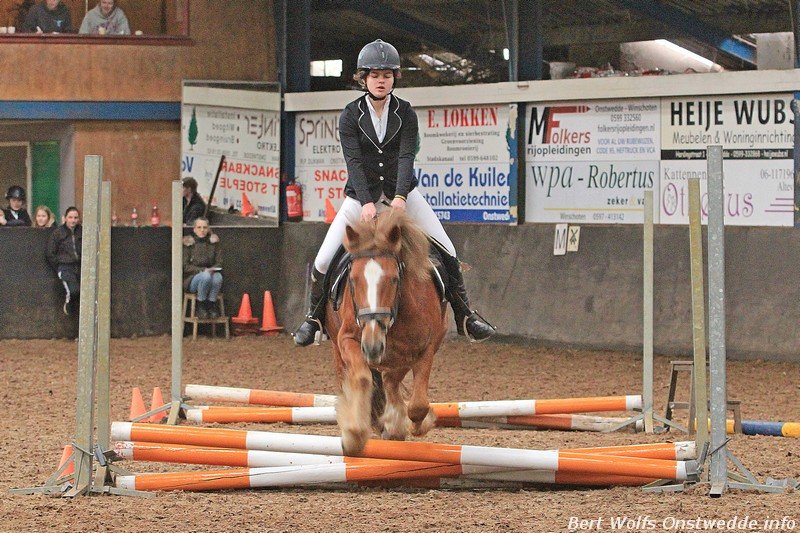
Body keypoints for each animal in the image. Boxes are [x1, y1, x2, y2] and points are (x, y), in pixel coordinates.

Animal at [325, 210, 448, 455]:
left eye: (394, 279)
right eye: (353, 280)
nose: (372, 347)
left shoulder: (425, 348)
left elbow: (418, 405)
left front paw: (419, 424)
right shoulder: (347, 340)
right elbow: (362, 378)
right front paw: (354, 435)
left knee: (391, 380)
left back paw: (394, 424)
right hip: (340, 347)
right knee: (359, 377)